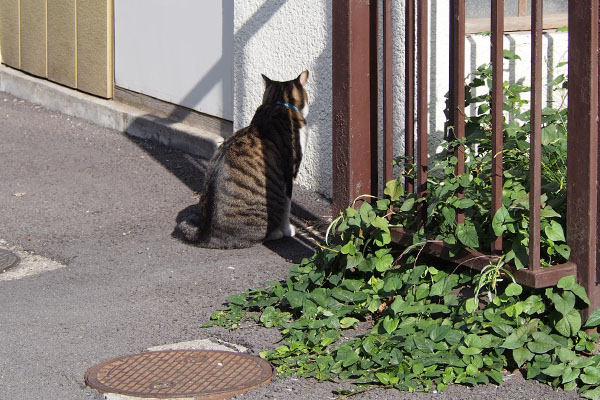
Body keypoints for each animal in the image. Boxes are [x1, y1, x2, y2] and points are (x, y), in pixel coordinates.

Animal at [176, 70, 310, 248]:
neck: (278, 103)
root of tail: (205, 235)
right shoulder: (289, 174)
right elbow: (288, 208)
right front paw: (288, 229)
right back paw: (276, 233)